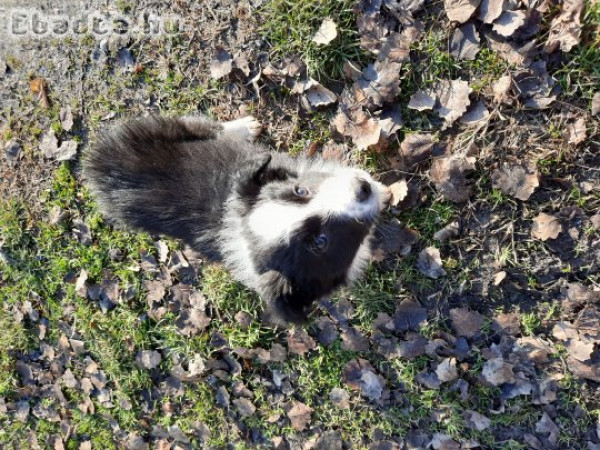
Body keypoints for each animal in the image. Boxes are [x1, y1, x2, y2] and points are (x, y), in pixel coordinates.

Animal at [85, 114, 394, 322]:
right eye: (319, 242)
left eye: (301, 190)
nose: (362, 187)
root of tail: (99, 166)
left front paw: (383, 189)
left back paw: (245, 128)